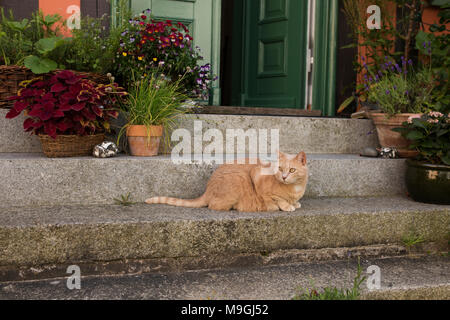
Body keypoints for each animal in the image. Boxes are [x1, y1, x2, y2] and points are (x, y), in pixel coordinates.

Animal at [146, 151, 308, 211]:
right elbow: (277, 199)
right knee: (214, 206)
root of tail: (208, 189)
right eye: (280, 169)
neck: (296, 189)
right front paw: (287, 206)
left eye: (291, 170)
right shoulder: (256, 175)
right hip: (239, 178)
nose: (284, 177)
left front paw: (295, 203)